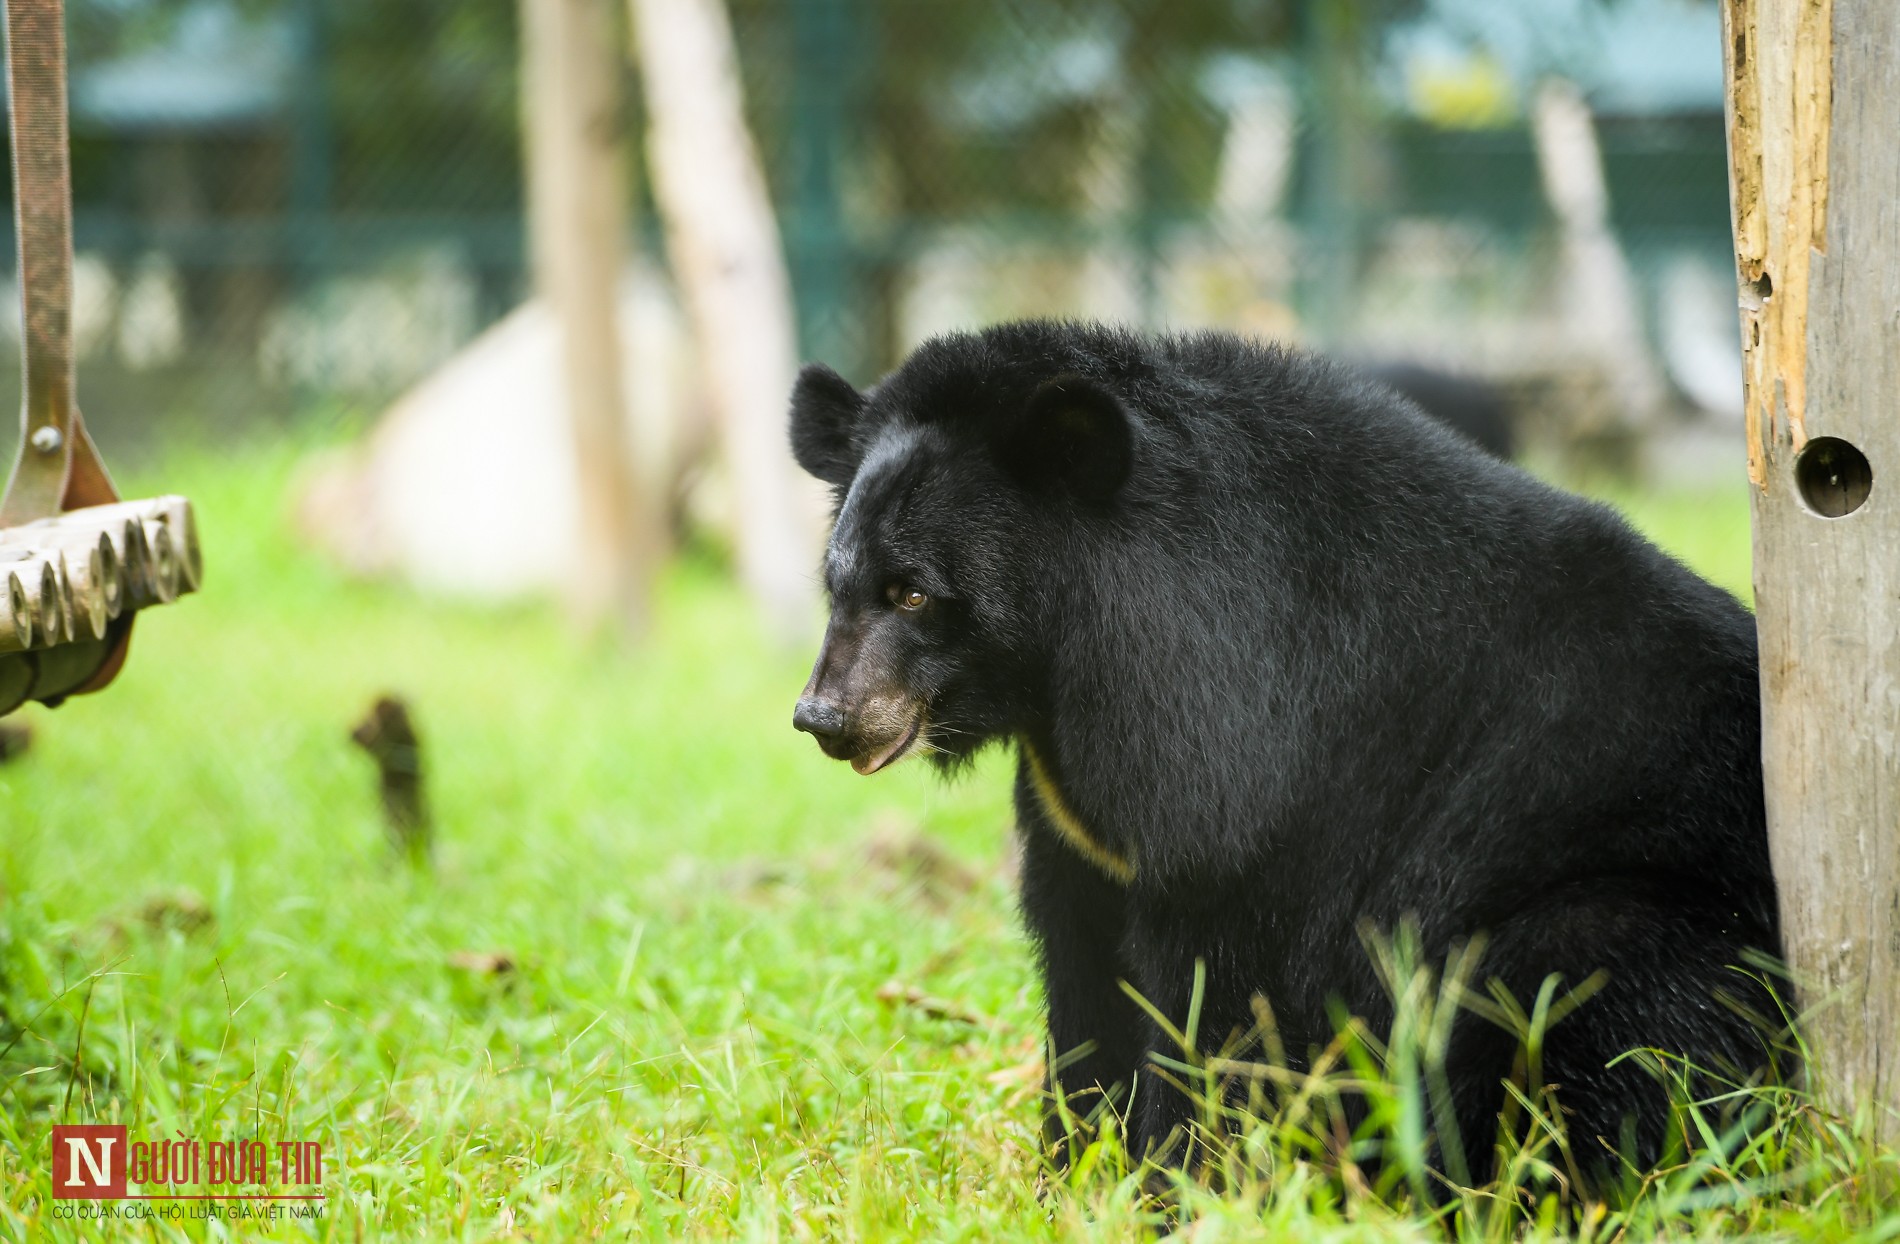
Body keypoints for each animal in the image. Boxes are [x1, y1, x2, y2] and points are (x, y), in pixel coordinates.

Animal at [782, 320, 1778, 1177]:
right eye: (839, 582)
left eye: (914, 593)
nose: (825, 717)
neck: (1068, 661)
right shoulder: (1081, 830)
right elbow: (1082, 979)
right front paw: (1076, 1177)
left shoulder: (1255, 773)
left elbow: (1223, 1000)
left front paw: (1179, 1184)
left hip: (1627, 923)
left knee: (1618, 1033)